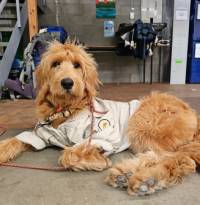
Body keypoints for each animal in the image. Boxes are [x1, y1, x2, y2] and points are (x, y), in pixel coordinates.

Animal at [0, 40, 200, 196]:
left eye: (77, 65)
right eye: (55, 63)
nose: (67, 82)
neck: (66, 110)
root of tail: (193, 113)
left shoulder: (105, 136)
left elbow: (67, 154)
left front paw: (95, 158)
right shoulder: (40, 134)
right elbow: (17, 139)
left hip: (143, 124)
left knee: (180, 158)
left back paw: (146, 179)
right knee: (166, 156)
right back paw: (126, 174)